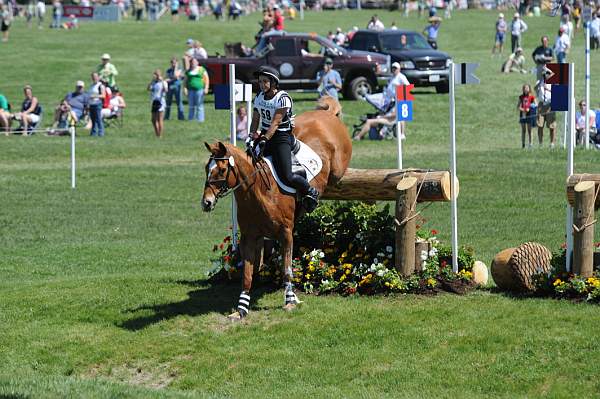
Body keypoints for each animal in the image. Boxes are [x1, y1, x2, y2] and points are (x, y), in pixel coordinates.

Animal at [202, 97, 352, 322]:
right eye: (206, 168)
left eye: (220, 170)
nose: (207, 202)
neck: (257, 193)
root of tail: (326, 115)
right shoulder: (249, 237)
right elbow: (247, 275)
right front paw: (241, 308)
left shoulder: (286, 233)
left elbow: (287, 269)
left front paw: (290, 301)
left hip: (338, 166)